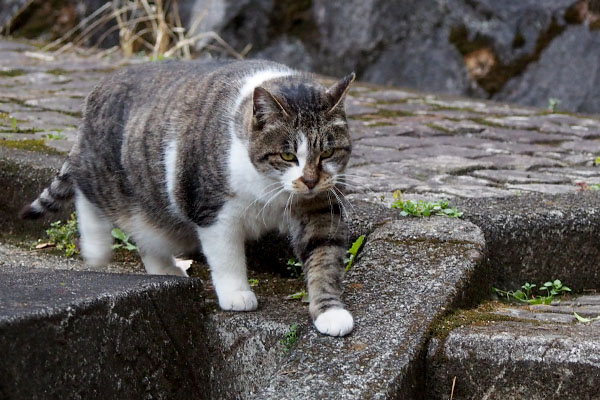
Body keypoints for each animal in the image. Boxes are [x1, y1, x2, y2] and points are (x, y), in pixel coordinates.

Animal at [19, 58, 356, 334]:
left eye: (327, 152)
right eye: (287, 155)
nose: (309, 180)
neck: (272, 188)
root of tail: (98, 89)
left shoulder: (320, 206)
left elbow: (323, 256)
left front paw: (329, 312)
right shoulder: (214, 210)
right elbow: (226, 256)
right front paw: (236, 294)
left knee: (148, 235)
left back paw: (166, 269)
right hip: (108, 177)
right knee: (85, 188)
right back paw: (96, 248)